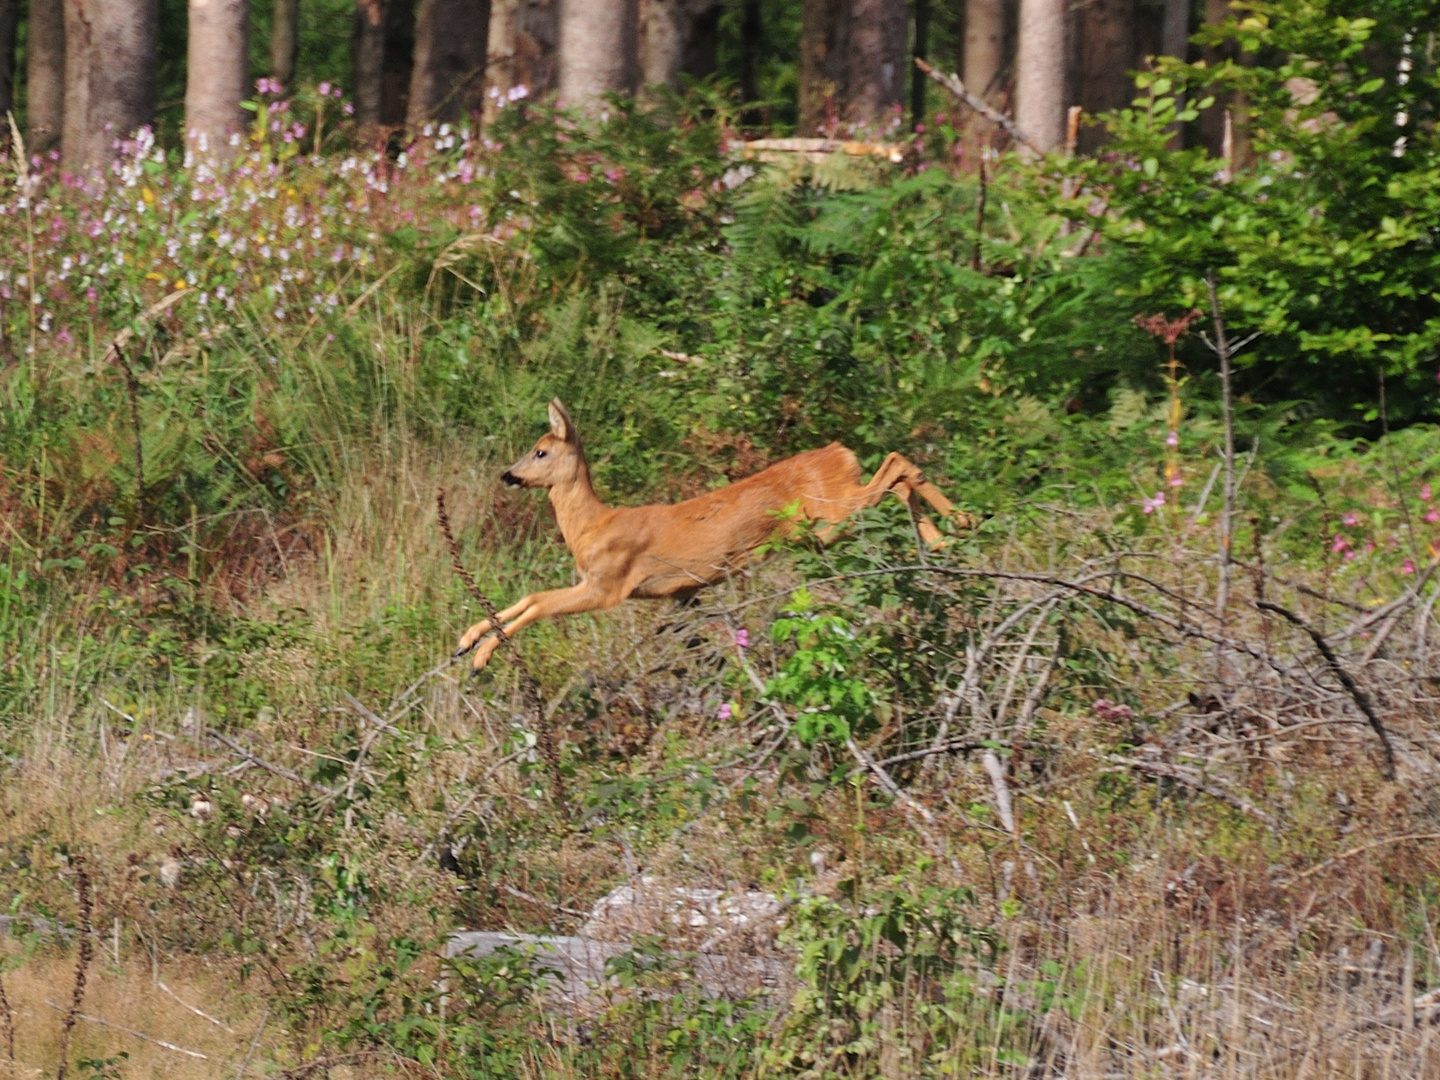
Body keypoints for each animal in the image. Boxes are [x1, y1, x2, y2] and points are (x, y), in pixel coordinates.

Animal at [455, 403, 961, 673]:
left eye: (541, 451)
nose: (508, 475)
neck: (592, 527)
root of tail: (841, 452)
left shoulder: (610, 584)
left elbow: (539, 604)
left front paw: (482, 658)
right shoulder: (603, 582)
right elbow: (531, 597)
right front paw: (466, 640)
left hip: (832, 509)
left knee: (895, 465)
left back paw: (957, 526)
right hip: (824, 529)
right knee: (897, 479)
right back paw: (944, 540)